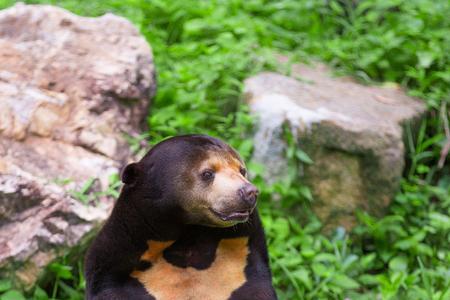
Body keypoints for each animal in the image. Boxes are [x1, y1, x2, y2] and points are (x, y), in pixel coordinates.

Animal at [82, 135, 276, 298]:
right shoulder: (117, 267)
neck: (189, 238)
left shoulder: (241, 262)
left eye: (242, 171)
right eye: (207, 173)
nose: (249, 192)